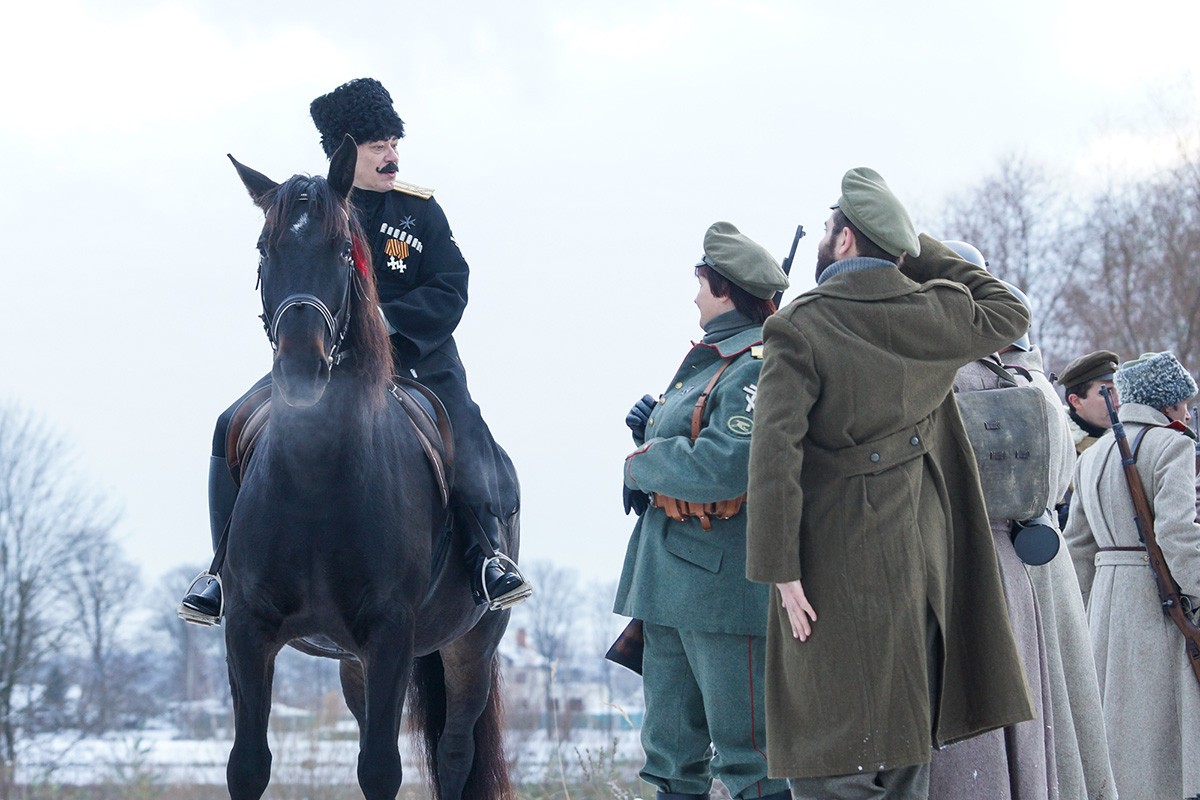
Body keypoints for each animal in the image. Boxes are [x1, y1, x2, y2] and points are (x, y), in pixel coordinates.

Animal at [223, 134, 513, 796]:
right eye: (265, 248)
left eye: (339, 249)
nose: (301, 367)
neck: (314, 480)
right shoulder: (246, 631)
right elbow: (247, 763)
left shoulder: (390, 636)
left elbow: (381, 766)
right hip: (353, 664)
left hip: (471, 647)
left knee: (455, 753)